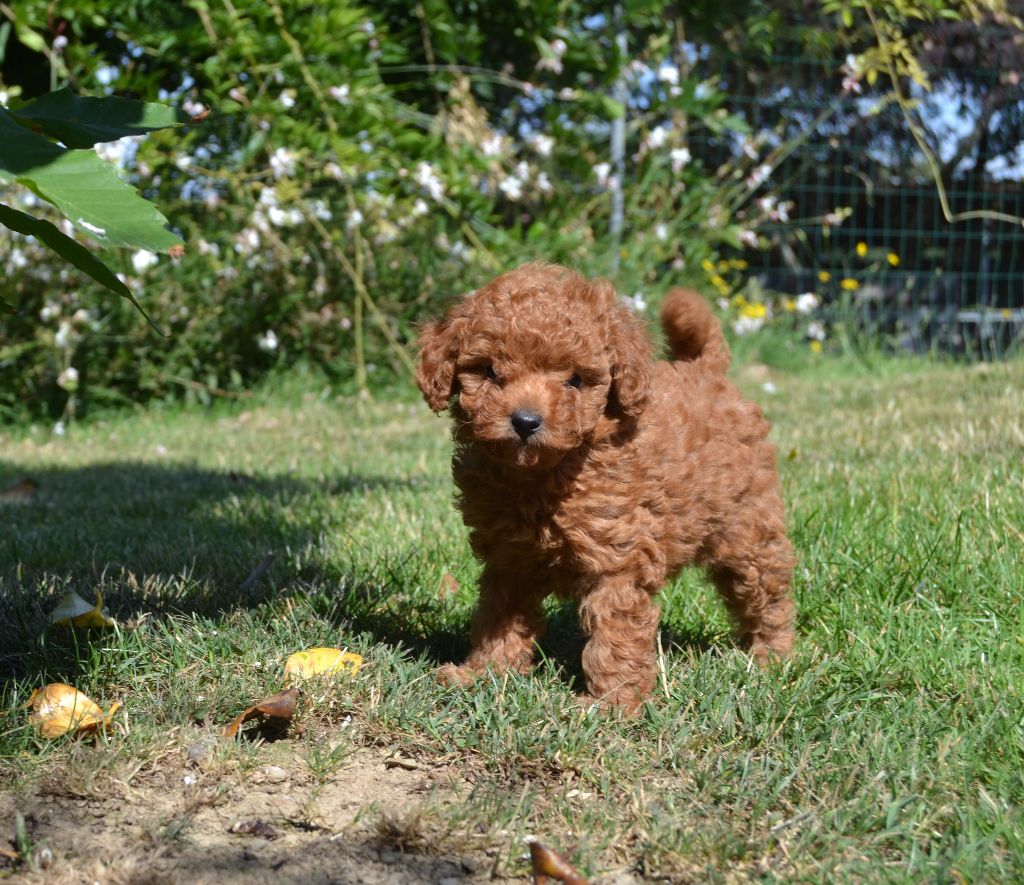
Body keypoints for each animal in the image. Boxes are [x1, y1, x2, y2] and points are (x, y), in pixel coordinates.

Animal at [417, 262, 798, 712]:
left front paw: (612, 704)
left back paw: (773, 657)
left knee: (766, 592)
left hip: (747, 528)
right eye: (490, 371)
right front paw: (482, 673)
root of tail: (707, 370)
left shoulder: (617, 559)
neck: (543, 475)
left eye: (575, 381)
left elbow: (615, 632)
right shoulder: (509, 559)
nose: (525, 421)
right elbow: (498, 615)